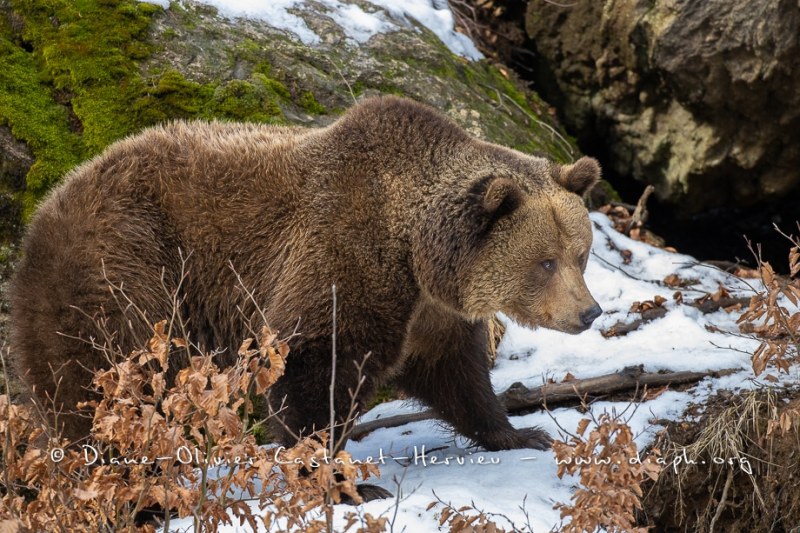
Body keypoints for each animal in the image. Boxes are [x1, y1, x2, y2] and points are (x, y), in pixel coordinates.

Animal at [10, 94, 600, 458]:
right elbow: (311, 360)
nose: (589, 312)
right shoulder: (345, 251)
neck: (416, 251)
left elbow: (458, 374)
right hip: (124, 271)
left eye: (581, 254)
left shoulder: (430, 314)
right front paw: (335, 472)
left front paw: (520, 434)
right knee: (103, 383)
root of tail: (44, 208)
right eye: (545, 261)